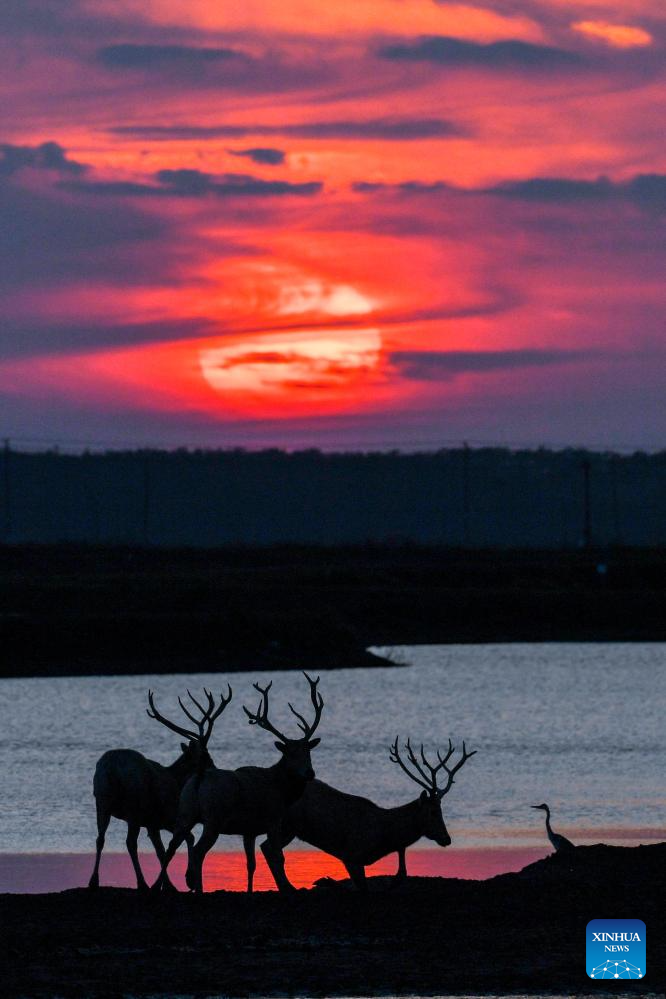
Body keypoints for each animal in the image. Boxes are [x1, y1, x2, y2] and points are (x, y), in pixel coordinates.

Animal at [89, 688, 231, 892]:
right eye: (206, 755)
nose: (215, 769)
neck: (177, 781)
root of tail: (112, 768)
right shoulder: (170, 817)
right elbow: (180, 843)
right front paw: (184, 881)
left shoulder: (153, 823)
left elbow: (161, 850)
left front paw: (171, 884)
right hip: (134, 805)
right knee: (130, 843)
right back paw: (142, 883)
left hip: (102, 800)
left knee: (100, 839)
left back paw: (94, 881)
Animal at [153, 676, 324, 896]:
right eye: (290, 754)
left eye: (308, 752)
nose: (309, 773)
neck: (282, 791)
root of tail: (199, 777)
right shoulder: (273, 819)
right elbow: (278, 857)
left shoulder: (249, 831)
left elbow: (251, 864)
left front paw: (250, 890)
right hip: (213, 818)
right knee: (198, 851)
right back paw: (198, 890)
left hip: (185, 811)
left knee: (171, 847)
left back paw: (159, 887)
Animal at [260, 736, 472, 892]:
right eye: (433, 811)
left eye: (442, 809)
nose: (446, 838)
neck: (384, 834)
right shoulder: (351, 854)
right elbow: (363, 889)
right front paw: (325, 881)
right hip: (284, 824)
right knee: (269, 848)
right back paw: (288, 888)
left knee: (266, 847)